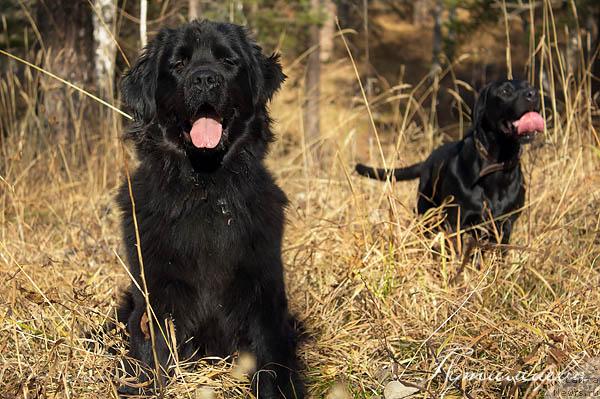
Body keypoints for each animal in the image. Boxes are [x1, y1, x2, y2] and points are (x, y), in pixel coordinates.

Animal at [114, 20, 304, 398]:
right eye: (179, 64)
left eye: (228, 61)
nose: (204, 79)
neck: (205, 188)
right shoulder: (158, 296)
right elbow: (158, 357)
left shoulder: (262, 294)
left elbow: (271, 364)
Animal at [354, 79, 548, 248]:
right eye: (505, 91)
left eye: (529, 85)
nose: (533, 93)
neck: (497, 165)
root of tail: (427, 160)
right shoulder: (456, 223)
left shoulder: (504, 226)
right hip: (426, 213)